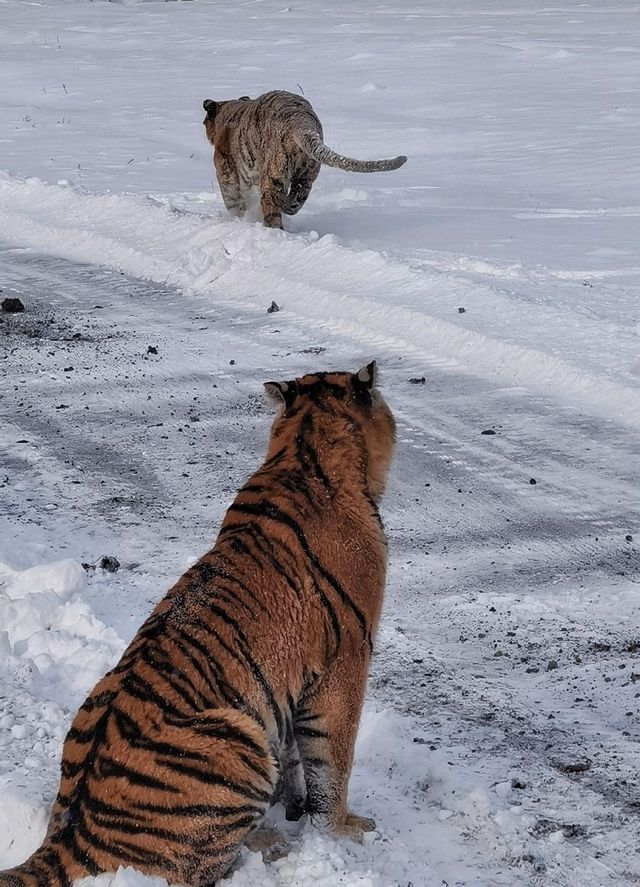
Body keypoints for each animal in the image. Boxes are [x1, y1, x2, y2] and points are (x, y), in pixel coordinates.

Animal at [0, 360, 396, 887]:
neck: (300, 452)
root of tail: (68, 837)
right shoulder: (347, 662)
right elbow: (333, 760)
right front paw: (343, 828)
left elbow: (295, 752)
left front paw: (295, 806)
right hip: (237, 740)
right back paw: (274, 846)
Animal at [202, 89, 408, 229]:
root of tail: (299, 122)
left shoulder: (226, 172)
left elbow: (234, 202)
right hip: (306, 174)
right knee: (295, 200)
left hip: (273, 173)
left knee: (271, 205)